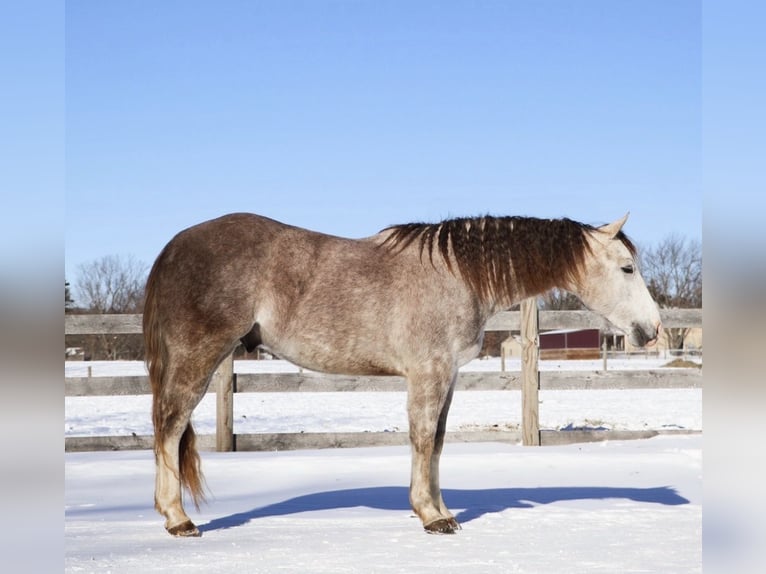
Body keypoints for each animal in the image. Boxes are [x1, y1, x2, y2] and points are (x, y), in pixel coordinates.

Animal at [143, 212, 661, 537]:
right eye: (627, 268)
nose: (652, 329)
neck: (458, 275)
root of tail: (175, 246)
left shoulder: (446, 376)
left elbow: (438, 442)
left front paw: (442, 509)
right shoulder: (428, 373)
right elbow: (423, 438)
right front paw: (431, 516)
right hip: (199, 357)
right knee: (169, 428)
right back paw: (178, 520)